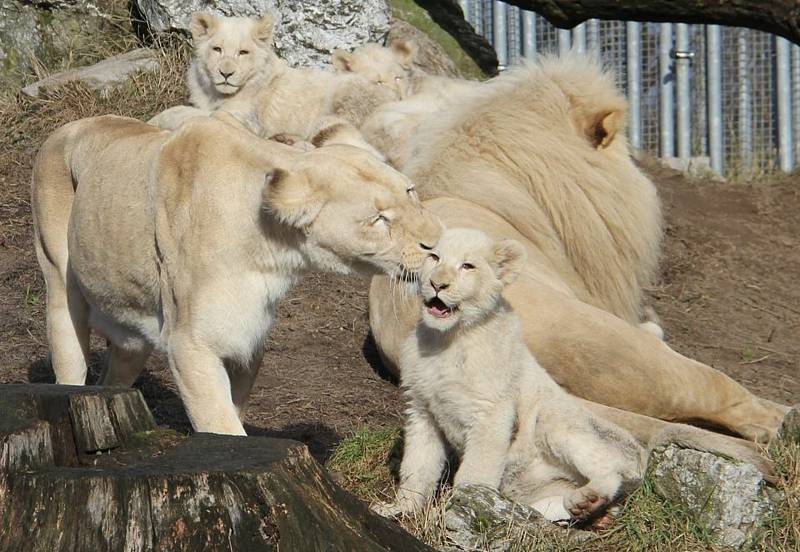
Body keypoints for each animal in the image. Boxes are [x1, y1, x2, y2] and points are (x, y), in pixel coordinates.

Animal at [31, 115, 440, 436]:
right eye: (378, 219)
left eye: (410, 191)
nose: (436, 244)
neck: (273, 251)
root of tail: (61, 130)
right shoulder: (189, 344)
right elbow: (222, 426)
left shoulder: (247, 338)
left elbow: (234, 410)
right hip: (59, 280)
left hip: (130, 330)